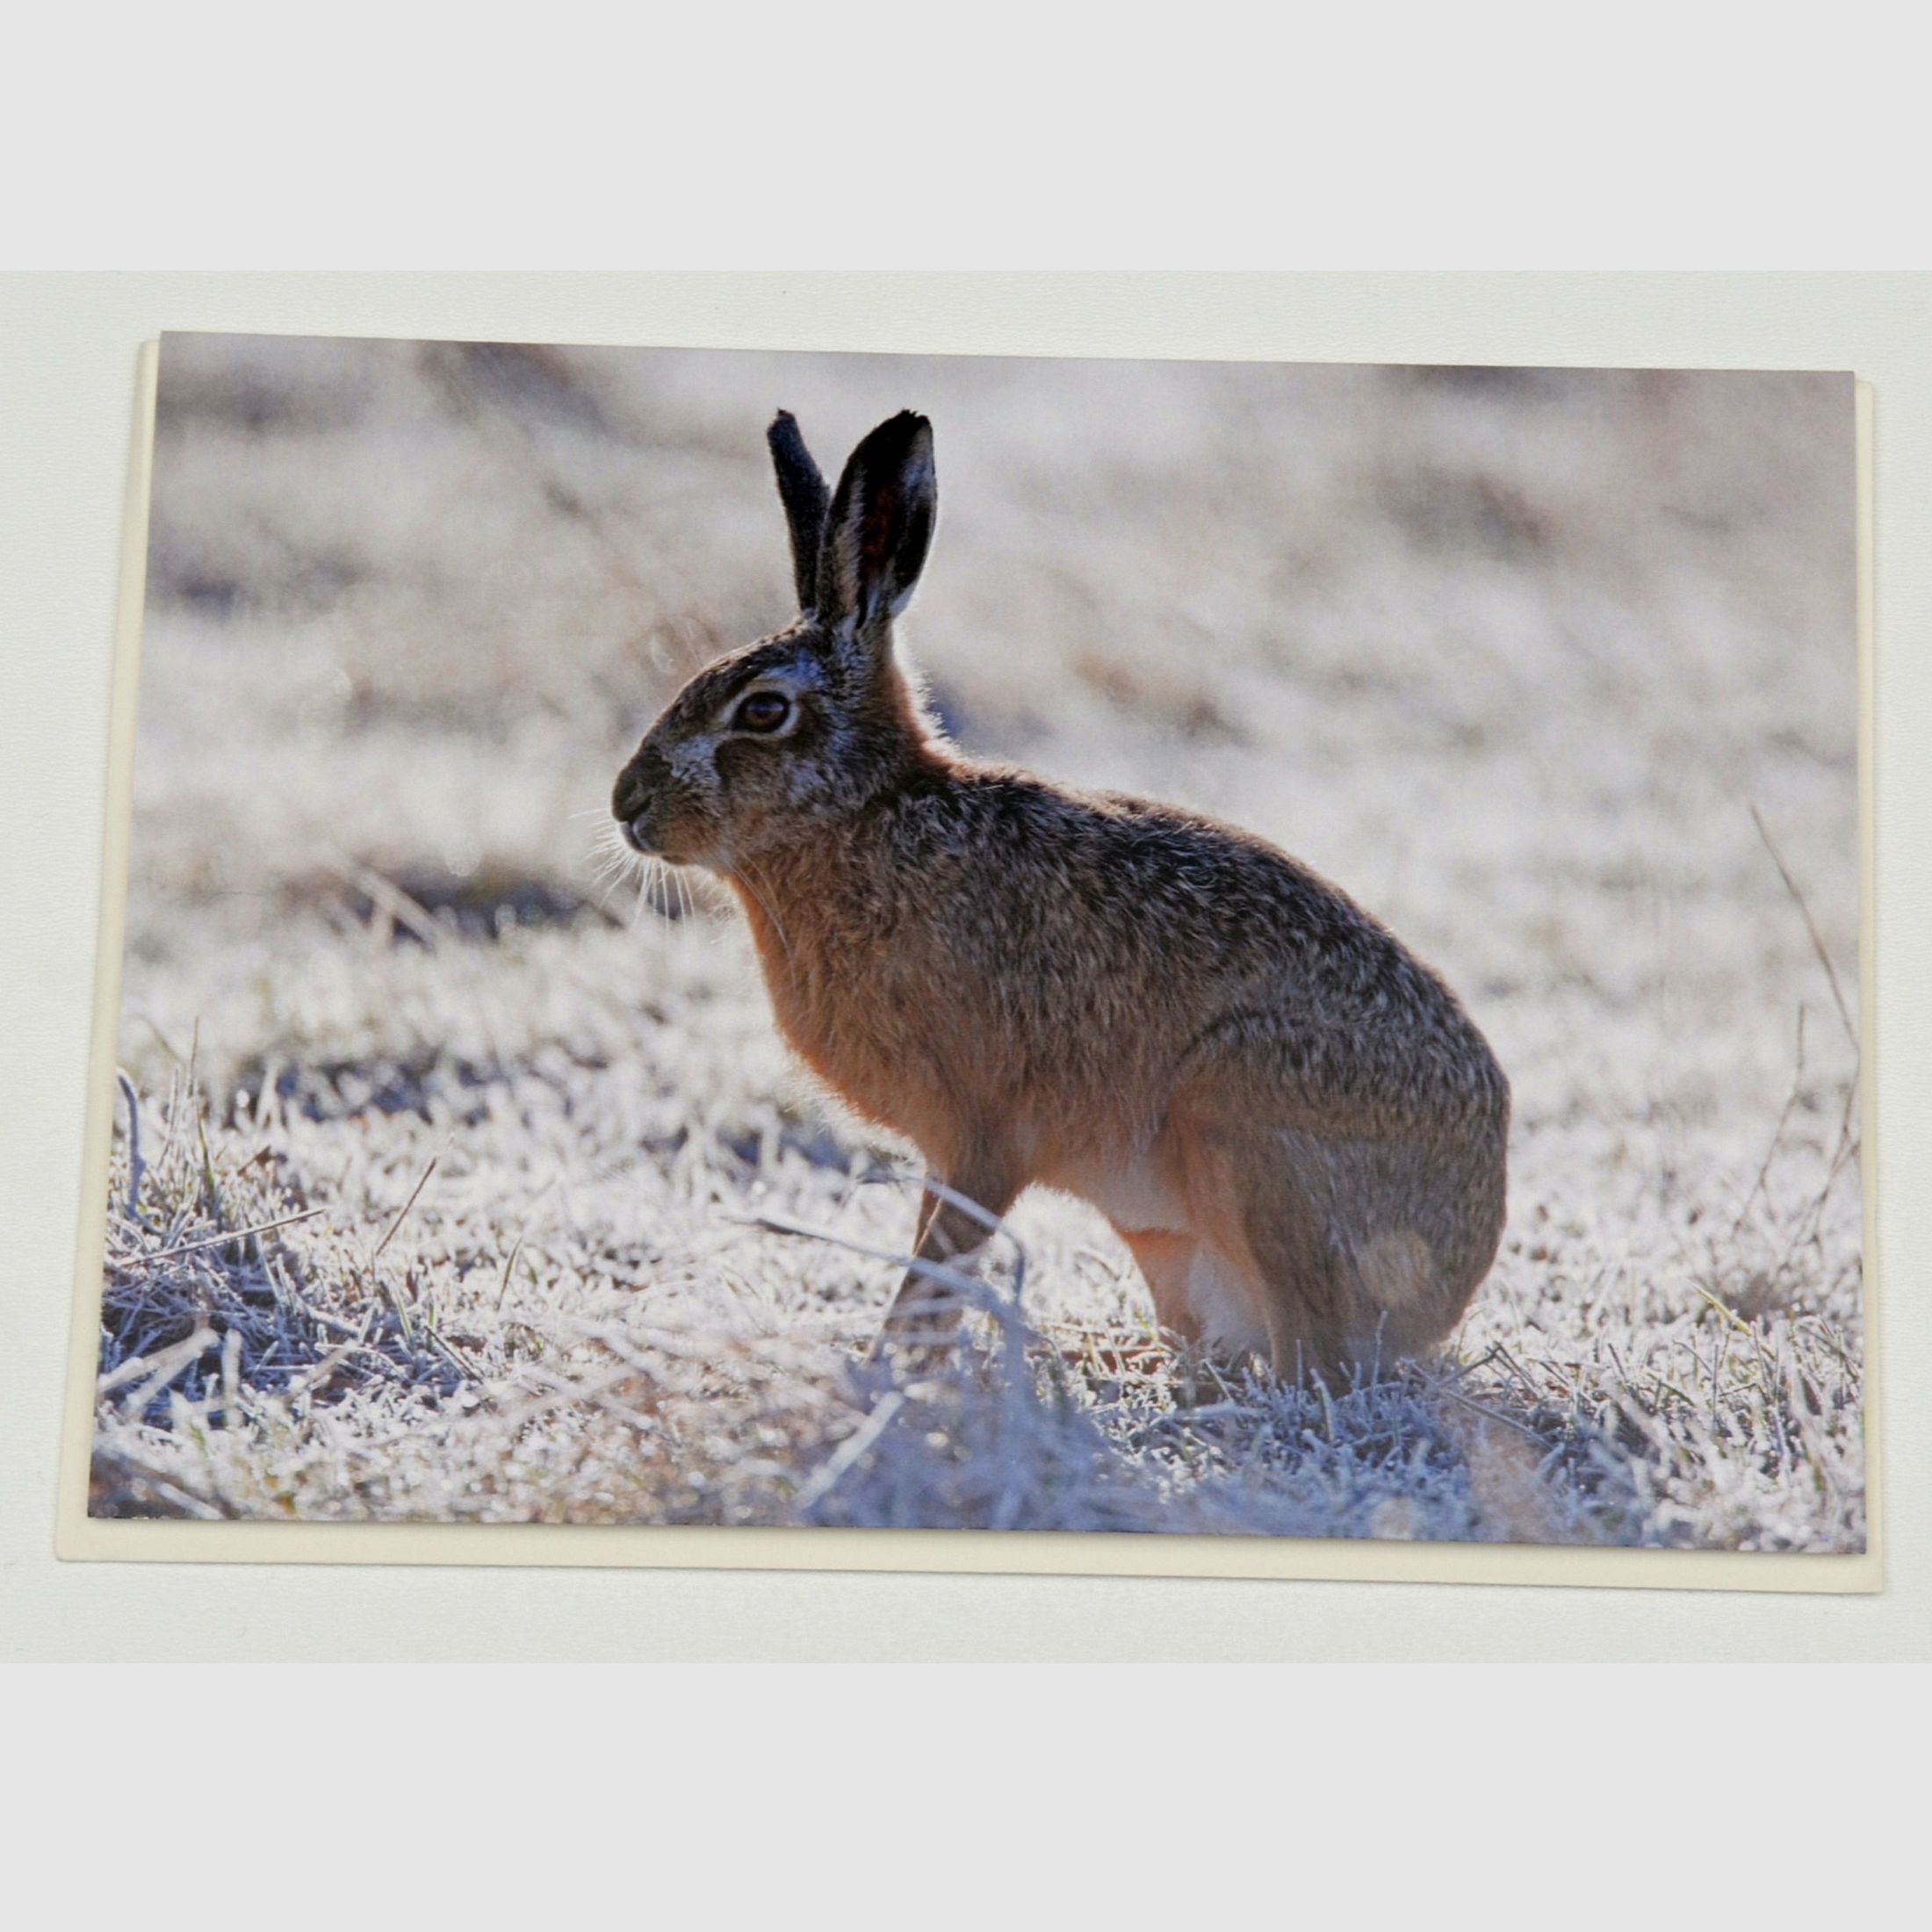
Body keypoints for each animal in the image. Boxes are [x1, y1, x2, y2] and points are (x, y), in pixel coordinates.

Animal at [611, 408, 1510, 1376]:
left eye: (763, 711)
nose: (627, 804)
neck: (866, 814)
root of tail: (1457, 1274)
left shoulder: (983, 1137)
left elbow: (936, 1270)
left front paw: (887, 1370)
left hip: (1242, 1121)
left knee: (1315, 1358)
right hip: (1164, 1223)